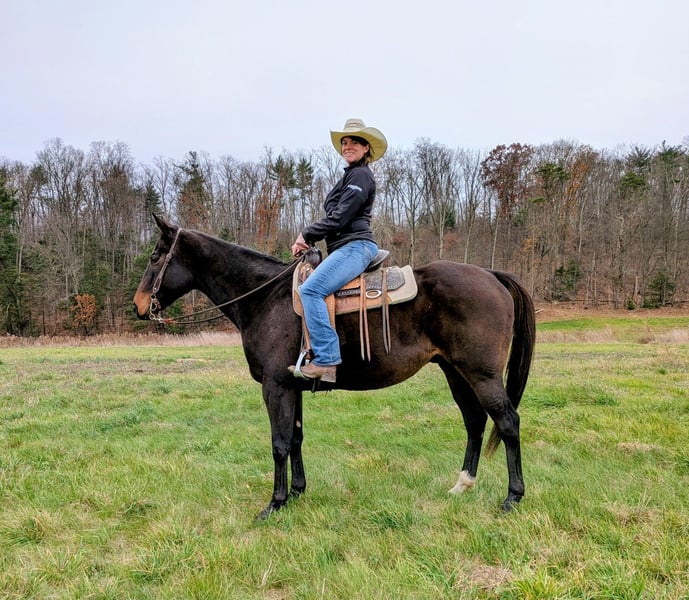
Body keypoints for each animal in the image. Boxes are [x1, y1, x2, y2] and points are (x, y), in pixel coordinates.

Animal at [133, 215, 536, 519]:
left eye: (155, 257)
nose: (138, 306)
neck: (266, 298)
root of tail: (491, 275)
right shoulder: (292, 386)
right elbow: (296, 438)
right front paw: (297, 492)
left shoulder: (275, 386)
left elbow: (279, 443)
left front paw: (275, 503)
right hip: (455, 371)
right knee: (475, 421)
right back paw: (462, 484)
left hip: (481, 374)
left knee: (507, 421)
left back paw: (513, 497)